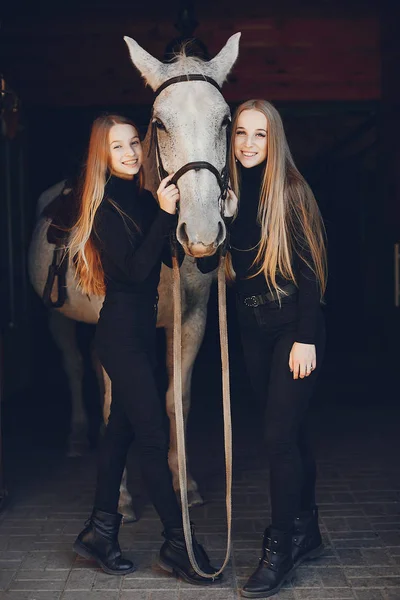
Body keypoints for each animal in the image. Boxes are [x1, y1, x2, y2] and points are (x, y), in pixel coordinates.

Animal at [28, 32, 241, 520]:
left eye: (225, 122)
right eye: (160, 124)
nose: (202, 233)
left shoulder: (191, 321)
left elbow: (176, 399)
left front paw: (185, 483)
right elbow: (114, 401)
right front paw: (122, 497)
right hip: (58, 318)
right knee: (74, 367)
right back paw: (76, 437)